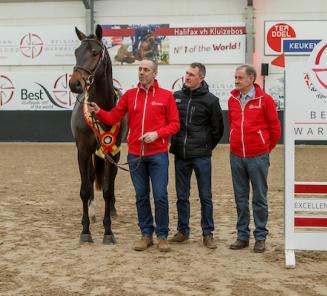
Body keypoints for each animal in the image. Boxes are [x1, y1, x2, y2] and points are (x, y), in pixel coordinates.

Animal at [69, 24, 127, 244]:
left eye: (95, 52)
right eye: (76, 52)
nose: (75, 83)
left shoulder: (113, 152)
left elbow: (108, 190)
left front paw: (108, 231)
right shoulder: (83, 151)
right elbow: (85, 189)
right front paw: (85, 231)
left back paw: (111, 210)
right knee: (91, 177)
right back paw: (91, 214)